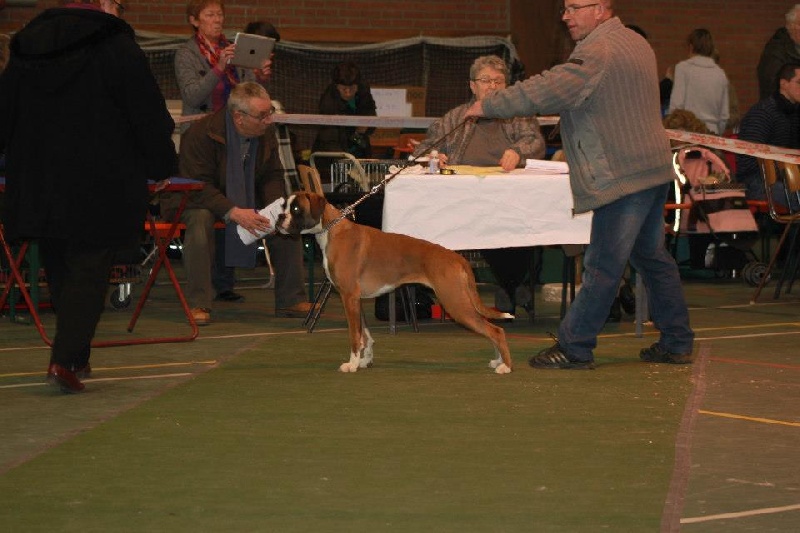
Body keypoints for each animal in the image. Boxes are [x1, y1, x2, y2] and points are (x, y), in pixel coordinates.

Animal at [276, 192, 512, 374]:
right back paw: (498, 361)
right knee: (492, 329)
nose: (279, 217)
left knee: (496, 331)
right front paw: (365, 361)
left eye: (296, 208)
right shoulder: (355, 299)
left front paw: (351, 365)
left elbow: (354, 336)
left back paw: (506, 367)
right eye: (284, 205)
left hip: (455, 303)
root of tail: (457, 257)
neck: (332, 230)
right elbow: (364, 335)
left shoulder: (348, 296)